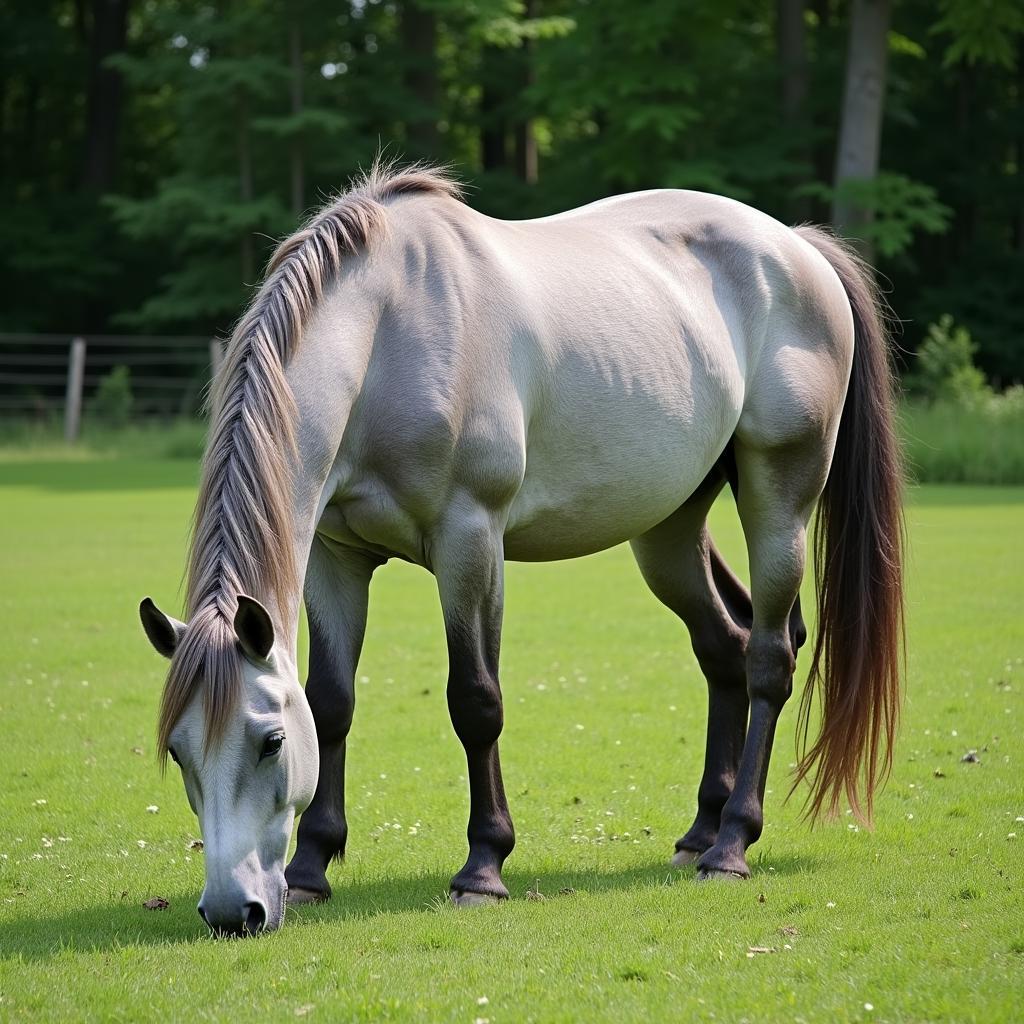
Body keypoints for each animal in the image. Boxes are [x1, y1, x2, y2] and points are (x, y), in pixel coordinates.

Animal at [140, 165, 901, 937]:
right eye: (178, 749)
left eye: (269, 741)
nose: (232, 911)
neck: (386, 335)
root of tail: (797, 248)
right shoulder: (336, 556)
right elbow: (332, 703)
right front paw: (311, 869)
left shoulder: (470, 540)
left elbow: (476, 701)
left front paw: (483, 866)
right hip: (669, 529)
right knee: (724, 646)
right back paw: (700, 833)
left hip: (780, 500)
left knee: (768, 658)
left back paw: (733, 844)